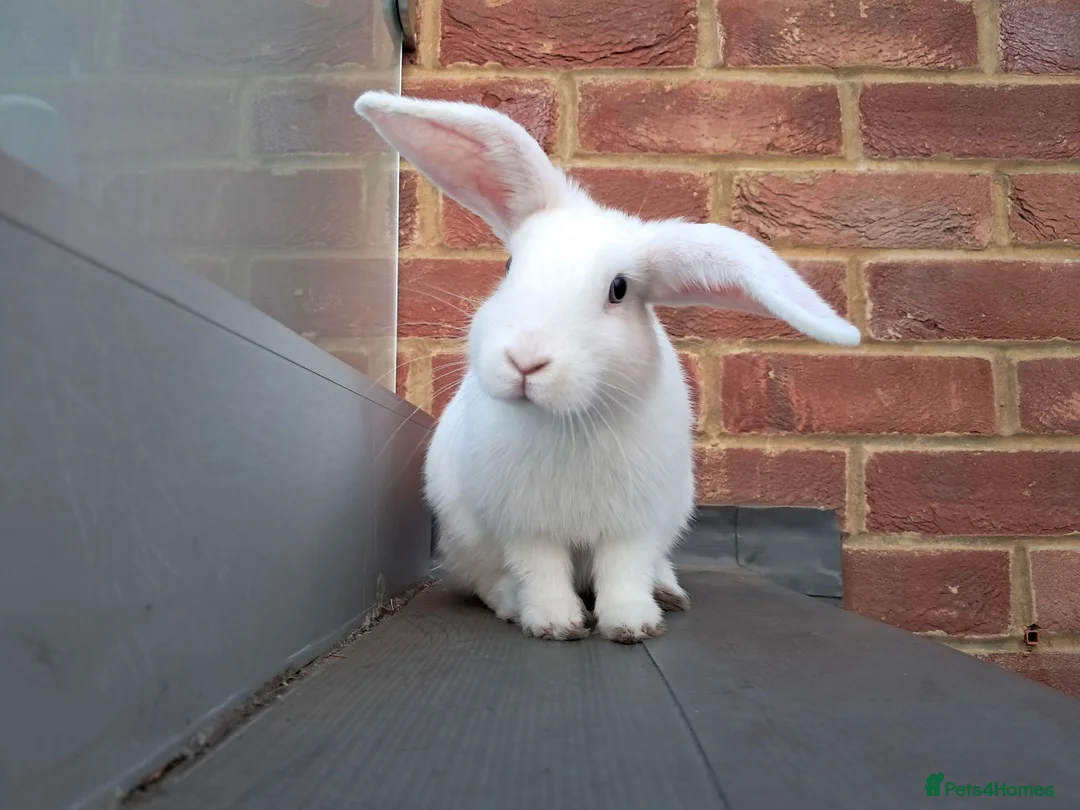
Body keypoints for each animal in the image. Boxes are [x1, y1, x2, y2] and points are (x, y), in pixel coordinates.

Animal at [354, 91, 860, 644]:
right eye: (509, 268)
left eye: (618, 289)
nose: (526, 361)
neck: (569, 421)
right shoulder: (526, 526)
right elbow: (540, 571)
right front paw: (555, 623)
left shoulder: (634, 525)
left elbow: (624, 571)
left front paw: (632, 625)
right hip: (463, 536)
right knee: (487, 582)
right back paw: (511, 604)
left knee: (655, 566)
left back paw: (669, 595)